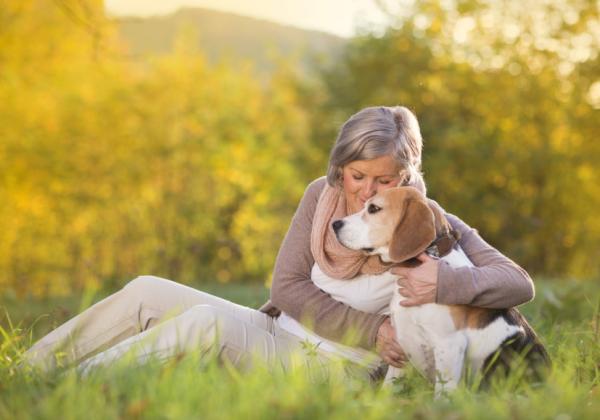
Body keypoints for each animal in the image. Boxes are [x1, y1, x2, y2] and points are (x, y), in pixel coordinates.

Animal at [330, 187, 552, 398]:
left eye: (374, 208)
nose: (335, 224)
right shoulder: (401, 343)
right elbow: (389, 386)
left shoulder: (450, 345)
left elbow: (443, 392)